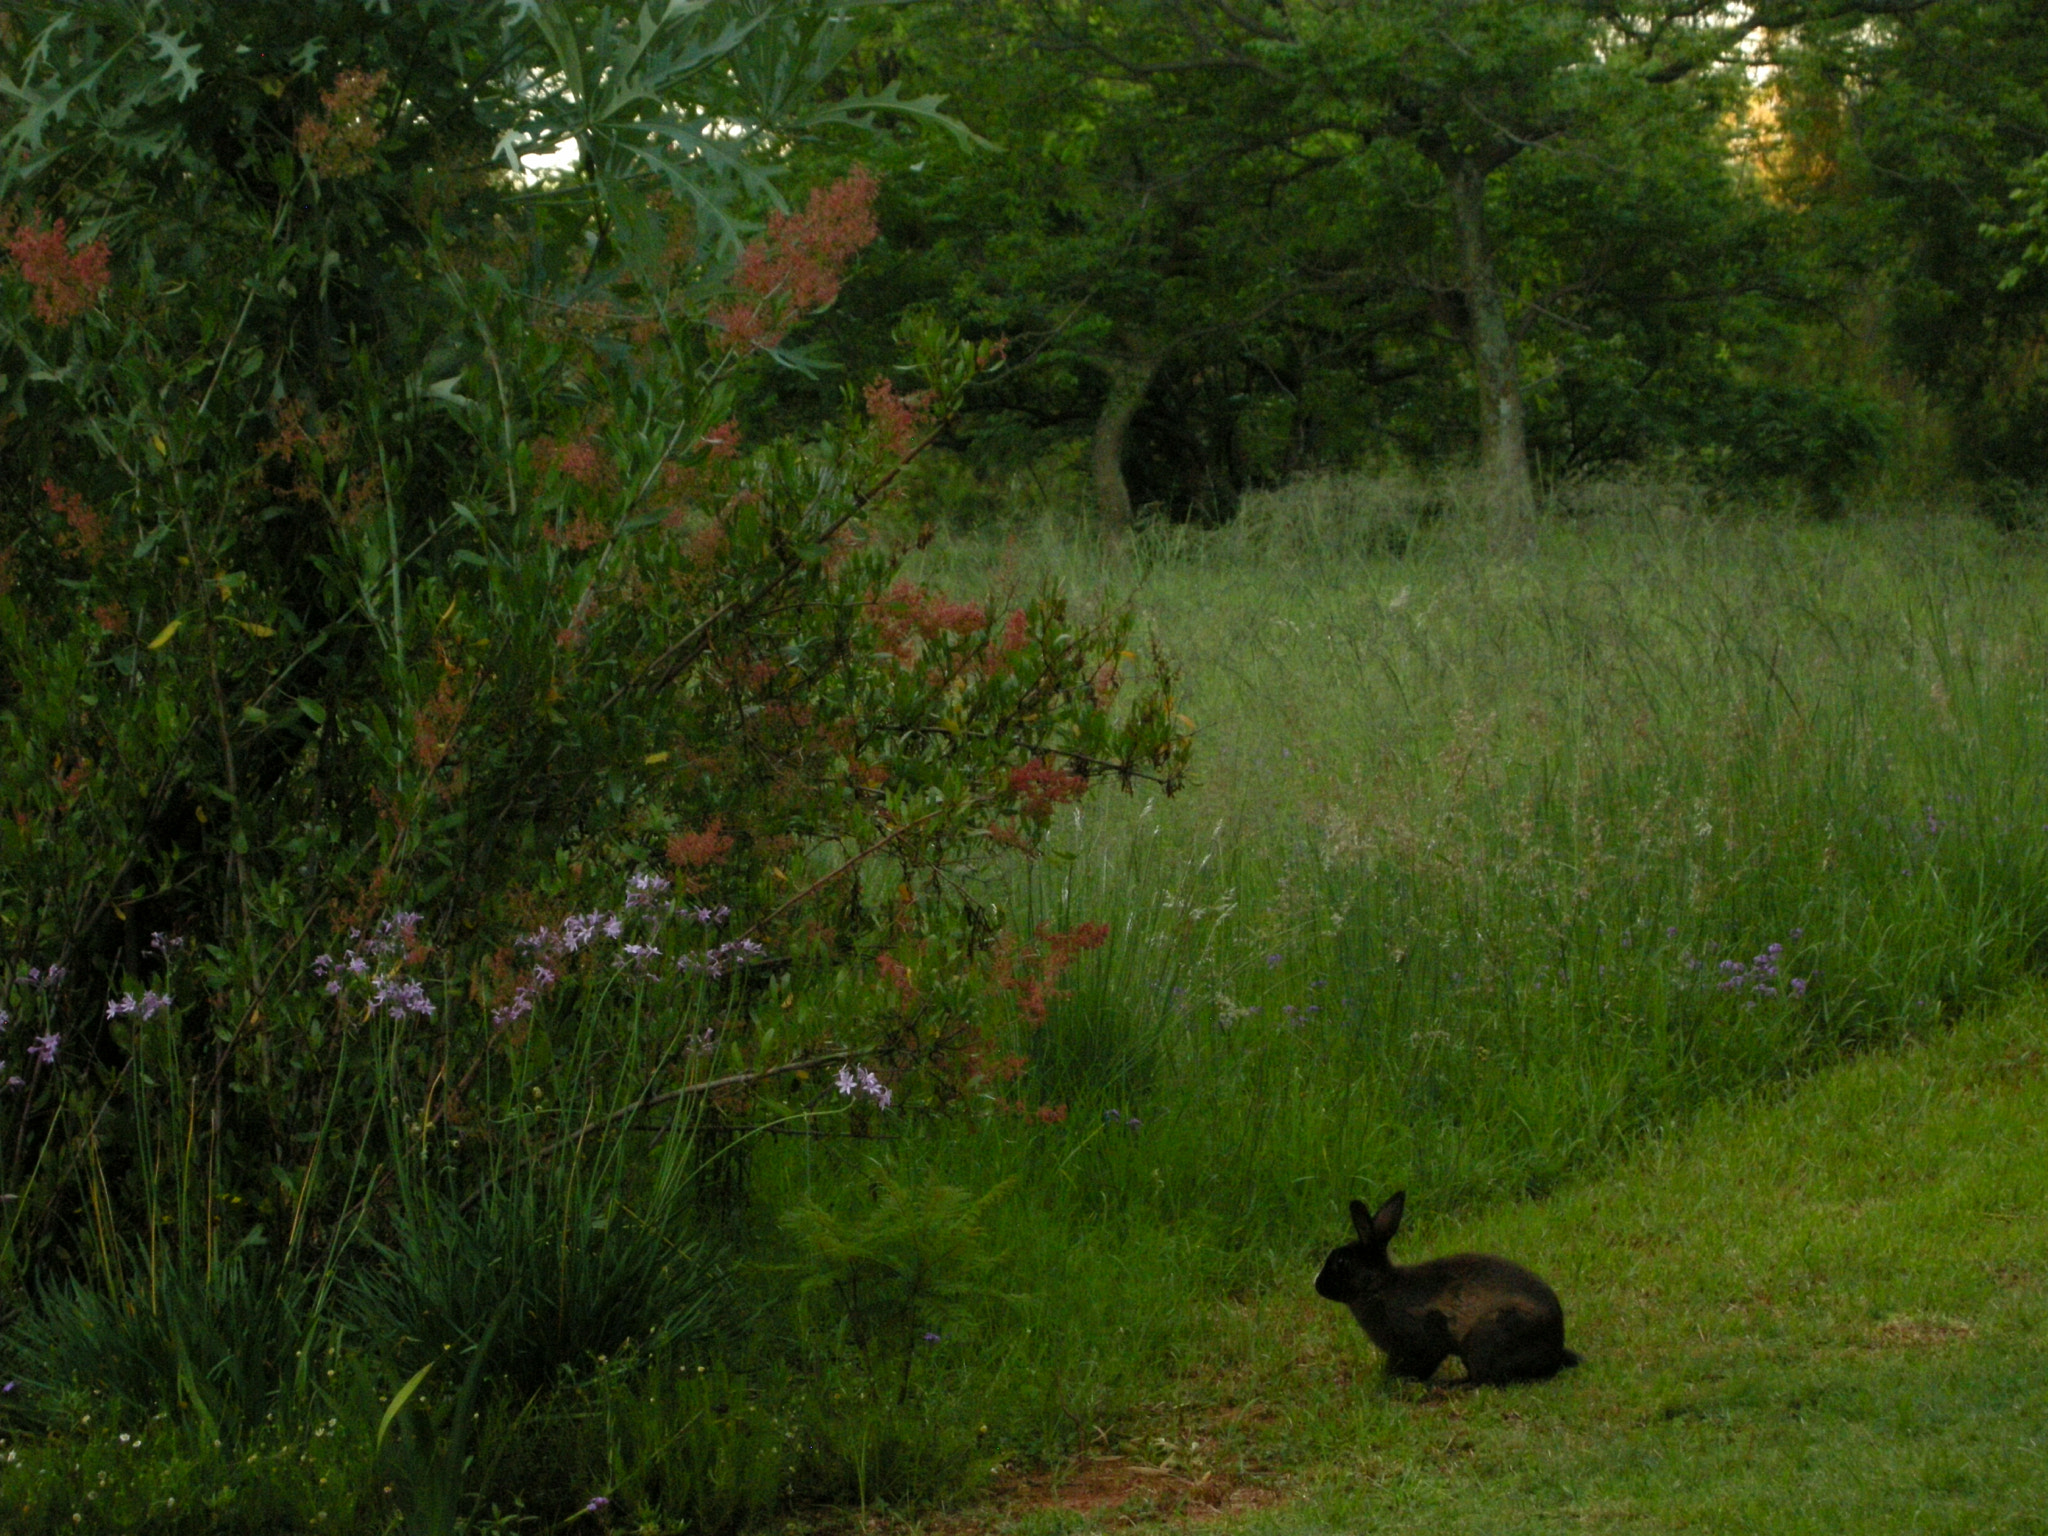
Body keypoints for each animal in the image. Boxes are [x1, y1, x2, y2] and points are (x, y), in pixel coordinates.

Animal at [1310, 1196, 1581, 1392]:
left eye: (1342, 1261)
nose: (1318, 1285)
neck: (1379, 1287)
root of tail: (1554, 1350)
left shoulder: (1421, 1341)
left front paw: (1390, 1383)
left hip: (1487, 1337)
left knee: (1483, 1379)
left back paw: (1448, 1386)